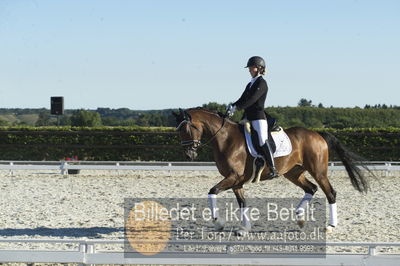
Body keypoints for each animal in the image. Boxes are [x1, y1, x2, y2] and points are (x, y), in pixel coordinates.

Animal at [173, 107, 370, 234]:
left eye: (187, 129)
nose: (189, 155)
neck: (225, 138)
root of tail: (317, 134)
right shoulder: (236, 181)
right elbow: (242, 202)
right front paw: (244, 228)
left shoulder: (233, 177)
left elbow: (212, 191)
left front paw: (218, 222)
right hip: (293, 173)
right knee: (311, 188)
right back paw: (299, 218)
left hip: (318, 171)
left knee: (330, 193)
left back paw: (330, 226)